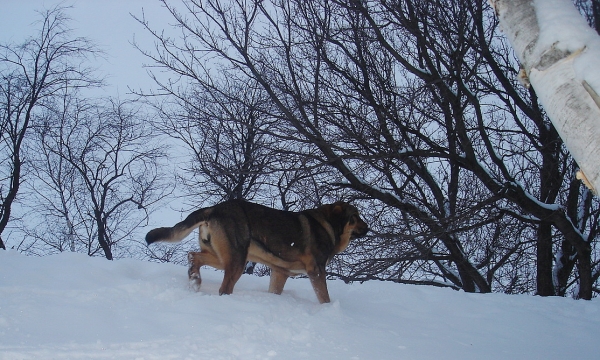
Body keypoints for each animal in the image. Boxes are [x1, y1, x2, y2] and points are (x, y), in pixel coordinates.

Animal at [147, 200, 368, 304]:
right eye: (355, 216)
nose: (368, 228)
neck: (330, 225)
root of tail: (213, 208)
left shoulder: (280, 272)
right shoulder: (317, 271)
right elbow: (324, 297)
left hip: (221, 256)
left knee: (194, 255)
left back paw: (195, 280)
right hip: (237, 260)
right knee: (224, 288)